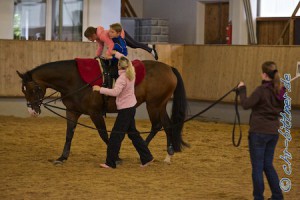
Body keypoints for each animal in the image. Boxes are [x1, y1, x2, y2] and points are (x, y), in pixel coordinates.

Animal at [17, 59, 188, 164]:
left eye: (33, 89)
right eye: (23, 90)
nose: (32, 111)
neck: (75, 80)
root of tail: (169, 68)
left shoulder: (95, 113)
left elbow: (103, 134)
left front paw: (116, 157)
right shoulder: (72, 111)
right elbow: (69, 134)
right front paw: (62, 157)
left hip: (154, 105)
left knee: (157, 125)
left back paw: (144, 149)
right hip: (161, 105)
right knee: (168, 125)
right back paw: (168, 155)